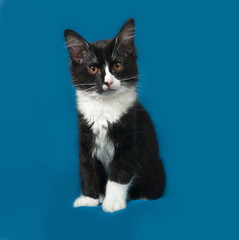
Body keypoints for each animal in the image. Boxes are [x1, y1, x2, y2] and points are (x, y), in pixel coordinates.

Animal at [65, 19, 166, 214]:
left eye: (117, 66)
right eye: (93, 68)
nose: (108, 82)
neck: (104, 108)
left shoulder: (130, 140)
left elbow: (119, 174)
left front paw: (112, 201)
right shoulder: (86, 138)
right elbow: (88, 169)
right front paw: (89, 198)